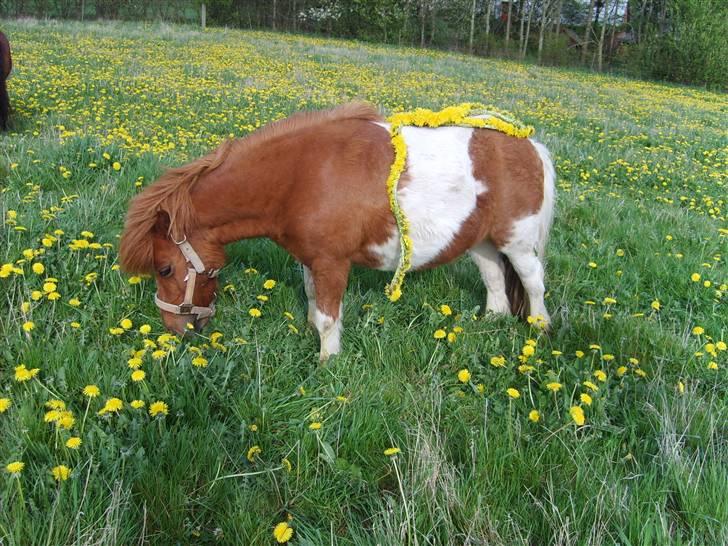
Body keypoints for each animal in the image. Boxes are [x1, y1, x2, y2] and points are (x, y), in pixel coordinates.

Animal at [119, 102, 556, 360]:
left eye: (164, 269)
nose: (176, 331)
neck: (299, 176)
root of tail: (529, 145)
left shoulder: (332, 262)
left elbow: (330, 318)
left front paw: (327, 364)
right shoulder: (310, 260)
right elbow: (315, 306)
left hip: (516, 241)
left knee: (533, 282)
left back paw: (540, 331)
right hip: (482, 242)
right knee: (495, 280)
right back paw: (492, 324)